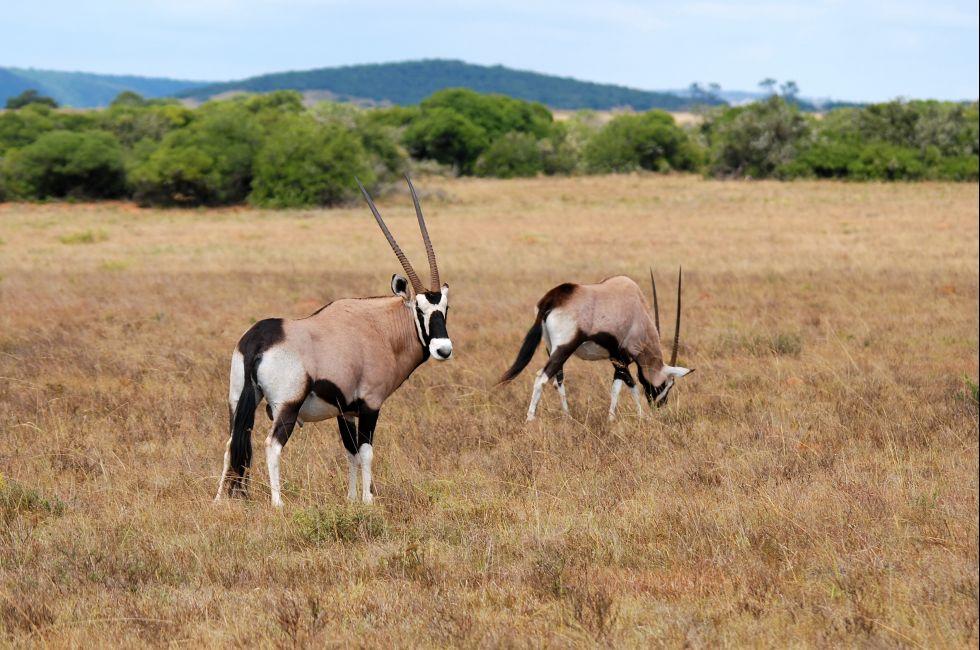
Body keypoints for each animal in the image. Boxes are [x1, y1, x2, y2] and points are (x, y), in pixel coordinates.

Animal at [215, 176, 451, 506]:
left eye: (445, 308)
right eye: (419, 308)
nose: (443, 349)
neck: (380, 329)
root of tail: (257, 341)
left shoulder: (345, 410)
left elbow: (350, 453)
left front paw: (351, 499)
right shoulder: (370, 405)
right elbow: (366, 452)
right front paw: (367, 500)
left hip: (237, 400)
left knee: (231, 443)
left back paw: (218, 500)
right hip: (287, 406)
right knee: (271, 445)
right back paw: (278, 503)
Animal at [499, 270, 692, 421]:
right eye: (668, 384)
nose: (659, 406)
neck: (639, 314)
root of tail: (553, 298)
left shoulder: (616, 358)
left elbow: (626, 385)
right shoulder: (621, 358)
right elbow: (623, 386)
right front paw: (622, 418)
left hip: (551, 348)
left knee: (558, 380)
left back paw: (567, 417)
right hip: (564, 348)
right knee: (542, 378)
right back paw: (530, 419)